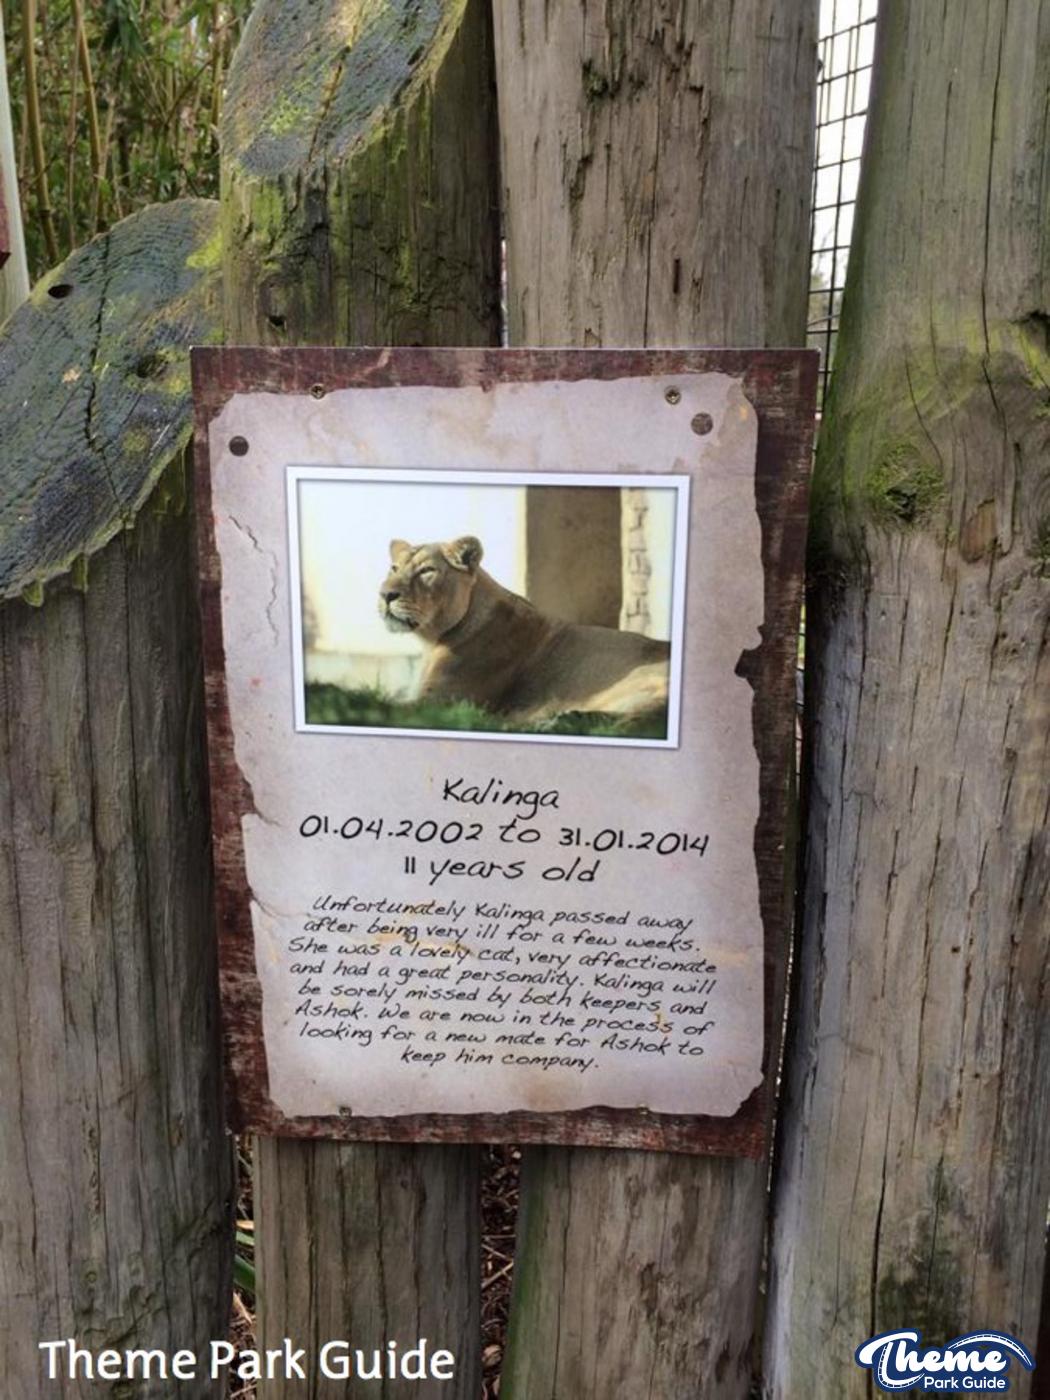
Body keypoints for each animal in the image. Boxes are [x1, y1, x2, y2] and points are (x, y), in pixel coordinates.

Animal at [378, 535, 670, 725]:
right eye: (394, 568)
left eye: (427, 571)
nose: (385, 595)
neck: (432, 641)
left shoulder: (444, 702)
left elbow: (390, 705)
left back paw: (559, 720)